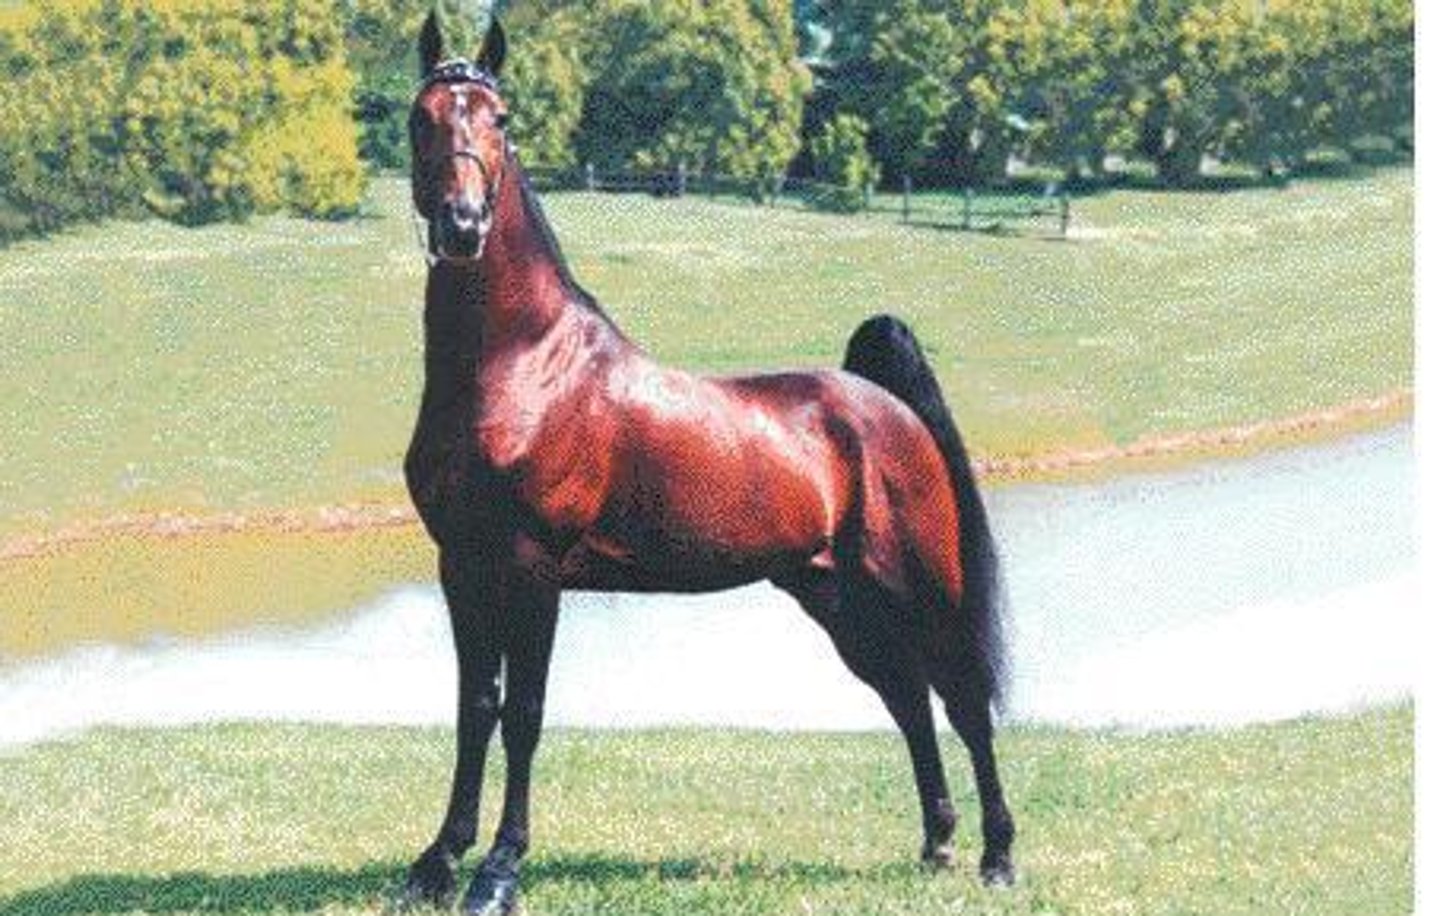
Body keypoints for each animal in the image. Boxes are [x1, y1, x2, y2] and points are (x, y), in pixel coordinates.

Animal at [396, 15, 1015, 914]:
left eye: (501, 118)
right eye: (423, 117)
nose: (463, 224)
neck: (521, 368)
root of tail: (883, 405)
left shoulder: (532, 570)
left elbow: (524, 714)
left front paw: (499, 872)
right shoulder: (463, 566)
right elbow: (475, 707)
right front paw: (437, 863)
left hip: (921, 585)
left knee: (964, 698)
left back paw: (999, 856)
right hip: (836, 595)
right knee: (906, 696)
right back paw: (936, 842)